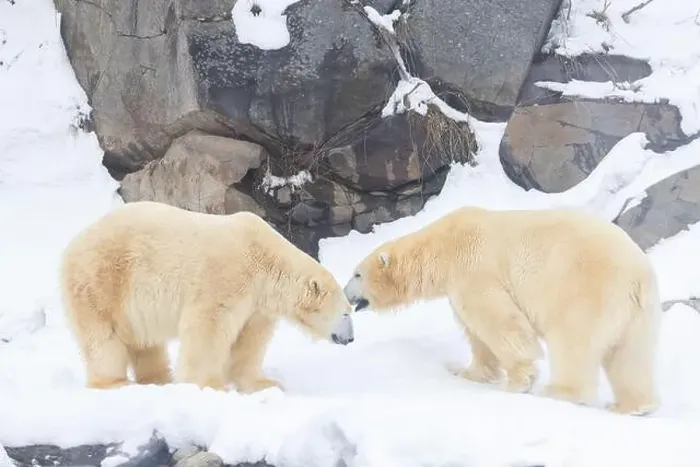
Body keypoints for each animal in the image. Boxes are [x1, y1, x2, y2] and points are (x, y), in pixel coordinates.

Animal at [60, 201, 354, 393]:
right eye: (346, 313)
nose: (350, 339)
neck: (264, 257)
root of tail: (72, 244)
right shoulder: (226, 277)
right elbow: (209, 327)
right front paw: (210, 385)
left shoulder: (258, 305)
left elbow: (250, 341)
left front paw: (265, 383)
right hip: (101, 280)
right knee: (102, 337)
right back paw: (114, 382)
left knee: (145, 341)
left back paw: (159, 379)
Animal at [343, 205, 661, 416]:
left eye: (357, 274)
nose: (346, 295)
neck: (442, 247)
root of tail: (637, 275)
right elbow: (477, 336)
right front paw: (468, 373)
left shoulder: (473, 268)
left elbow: (498, 321)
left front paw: (519, 382)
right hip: (637, 312)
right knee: (630, 355)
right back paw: (631, 406)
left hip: (583, 288)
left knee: (573, 341)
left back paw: (558, 392)